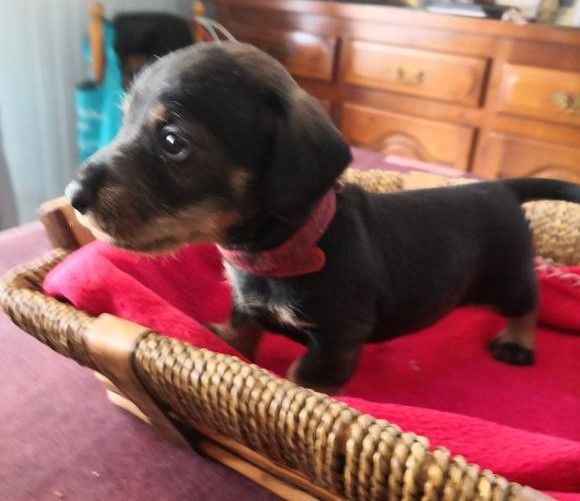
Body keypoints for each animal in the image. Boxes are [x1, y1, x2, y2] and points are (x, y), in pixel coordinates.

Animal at [66, 42, 580, 394]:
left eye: (174, 142)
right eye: (125, 120)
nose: (73, 195)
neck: (285, 249)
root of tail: (503, 188)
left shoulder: (338, 337)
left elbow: (306, 374)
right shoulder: (246, 302)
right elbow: (242, 325)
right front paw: (221, 335)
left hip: (507, 277)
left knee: (529, 302)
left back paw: (517, 340)